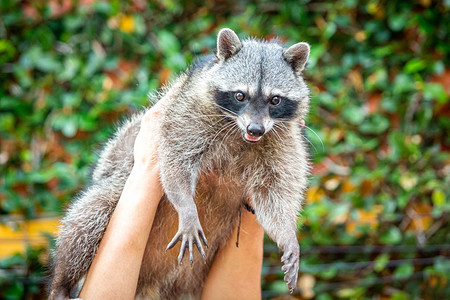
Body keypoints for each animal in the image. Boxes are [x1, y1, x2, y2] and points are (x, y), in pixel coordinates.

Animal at [48, 27, 310, 298]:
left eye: (275, 100)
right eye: (240, 95)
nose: (256, 129)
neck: (239, 134)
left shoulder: (283, 142)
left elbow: (275, 193)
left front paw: (287, 233)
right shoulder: (185, 113)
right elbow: (175, 161)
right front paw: (187, 208)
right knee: (90, 215)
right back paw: (62, 280)